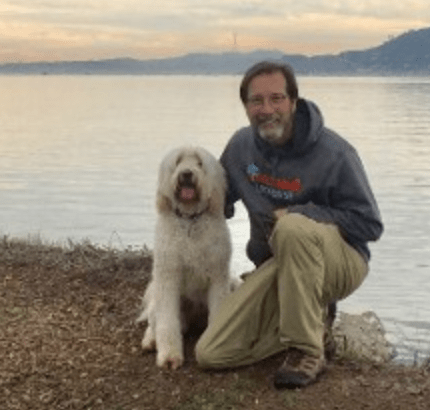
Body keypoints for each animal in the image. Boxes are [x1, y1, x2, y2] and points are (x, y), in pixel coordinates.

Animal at [137, 146, 232, 370]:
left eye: (199, 163)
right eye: (178, 161)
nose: (187, 174)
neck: (190, 220)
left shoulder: (219, 277)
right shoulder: (168, 277)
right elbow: (166, 322)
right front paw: (170, 356)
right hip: (158, 297)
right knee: (154, 323)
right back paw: (150, 341)